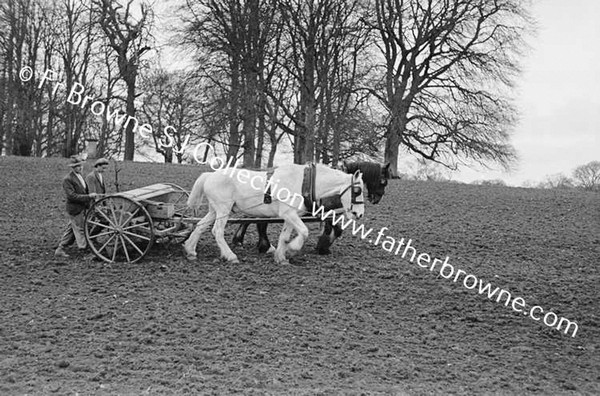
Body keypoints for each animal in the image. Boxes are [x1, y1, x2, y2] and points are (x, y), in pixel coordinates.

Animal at [183, 162, 364, 264]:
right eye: (357, 190)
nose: (359, 214)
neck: (303, 182)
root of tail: (209, 175)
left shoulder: (290, 215)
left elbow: (284, 236)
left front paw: (281, 257)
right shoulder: (288, 213)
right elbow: (304, 232)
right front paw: (292, 249)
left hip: (215, 210)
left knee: (200, 226)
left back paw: (190, 250)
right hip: (223, 209)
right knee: (217, 231)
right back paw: (231, 256)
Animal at [229, 161, 390, 254]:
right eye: (383, 181)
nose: (377, 198)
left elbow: (335, 229)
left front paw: (323, 245)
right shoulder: (327, 211)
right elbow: (334, 229)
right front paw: (323, 246)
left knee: (253, 220)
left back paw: (243, 241)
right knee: (258, 223)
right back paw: (261, 245)